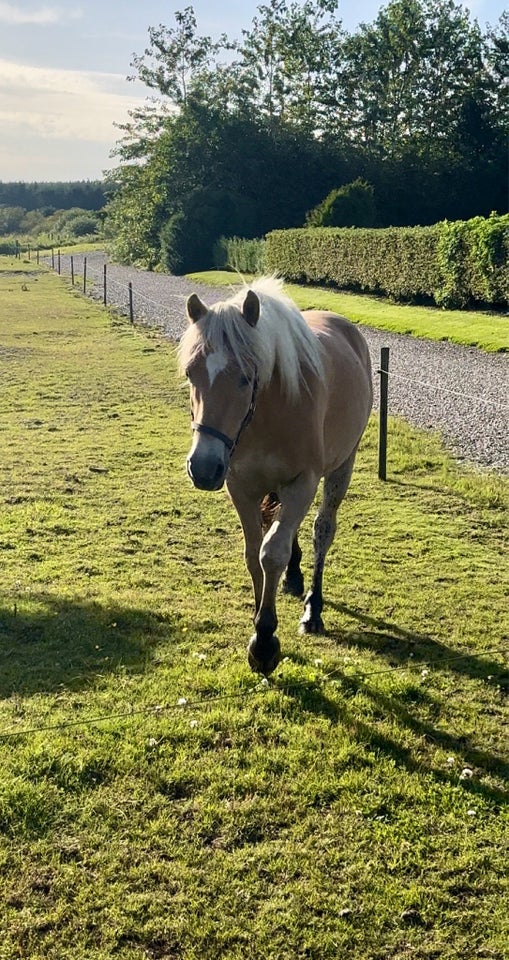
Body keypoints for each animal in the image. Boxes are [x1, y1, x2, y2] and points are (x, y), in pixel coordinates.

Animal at [179, 276, 374, 676]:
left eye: (245, 378)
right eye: (191, 373)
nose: (203, 468)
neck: (268, 412)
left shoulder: (303, 482)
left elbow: (272, 552)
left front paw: (265, 641)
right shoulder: (240, 486)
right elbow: (254, 553)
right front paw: (258, 617)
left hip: (341, 467)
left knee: (321, 531)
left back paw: (313, 608)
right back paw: (294, 577)